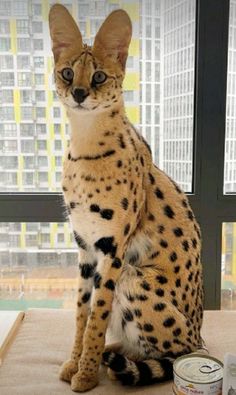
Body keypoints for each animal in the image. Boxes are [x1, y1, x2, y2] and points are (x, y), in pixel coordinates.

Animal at [48, 4, 204, 394]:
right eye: (68, 72)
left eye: (99, 77)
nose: (79, 93)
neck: (85, 148)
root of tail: (200, 335)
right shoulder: (85, 248)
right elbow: (81, 314)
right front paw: (75, 363)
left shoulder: (113, 248)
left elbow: (98, 316)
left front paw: (86, 375)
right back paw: (114, 353)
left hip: (135, 280)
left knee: (177, 353)